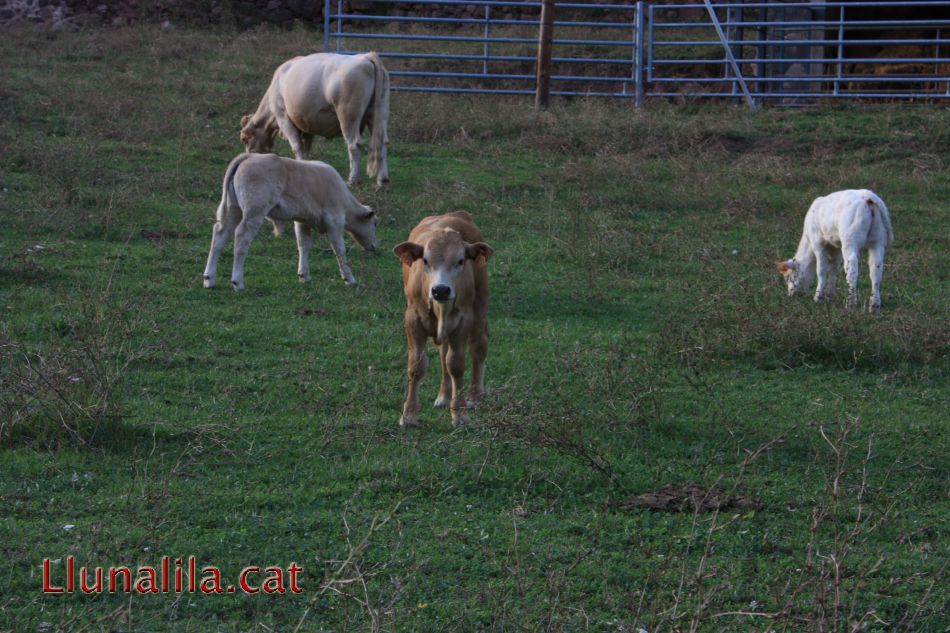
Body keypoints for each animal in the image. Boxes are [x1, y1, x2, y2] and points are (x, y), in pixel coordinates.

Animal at [204, 153, 380, 292]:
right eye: (375, 224)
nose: (375, 247)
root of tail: (248, 156)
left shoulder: (303, 221)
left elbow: (303, 245)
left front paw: (304, 276)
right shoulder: (334, 221)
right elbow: (340, 250)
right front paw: (349, 279)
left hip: (233, 207)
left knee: (219, 234)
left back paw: (209, 279)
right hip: (255, 209)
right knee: (241, 237)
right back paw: (237, 282)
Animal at [242, 52, 390, 186]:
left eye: (245, 139)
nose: (248, 158)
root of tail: (365, 56)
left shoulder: (283, 117)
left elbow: (297, 146)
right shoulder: (307, 123)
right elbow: (306, 147)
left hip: (348, 115)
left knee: (354, 144)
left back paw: (352, 180)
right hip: (379, 114)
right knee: (382, 142)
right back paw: (382, 180)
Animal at [396, 214, 498, 430]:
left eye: (460, 261)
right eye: (425, 261)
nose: (441, 290)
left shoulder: (463, 322)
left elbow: (456, 365)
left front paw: (460, 414)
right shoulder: (413, 320)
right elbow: (417, 365)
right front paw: (408, 415)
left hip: (480, 307)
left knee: (478, 347)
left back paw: (474, 396)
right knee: (443, 353)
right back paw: (444, 396)